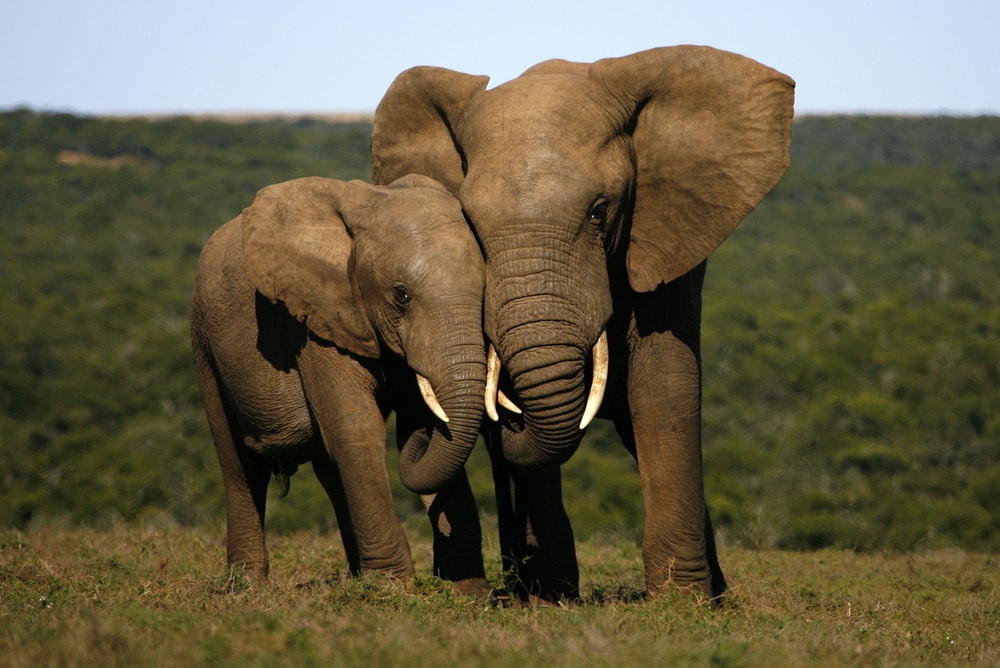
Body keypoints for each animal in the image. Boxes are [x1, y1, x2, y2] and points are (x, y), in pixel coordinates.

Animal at [190, 174, 489, 590]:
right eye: (401, 294)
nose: (424, 436)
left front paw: (469, 594)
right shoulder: (314, 320)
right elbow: (356, 429)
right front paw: (392, 589)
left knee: (328, 469)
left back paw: (353, 575)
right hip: (205, 343)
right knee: (239, 463)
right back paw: (246, 585)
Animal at [371, 45, 794, 603]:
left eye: (599, 211)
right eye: (471, 225)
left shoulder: (662, 240)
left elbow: (663, 387)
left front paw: (683, 602)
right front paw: (550, 598)